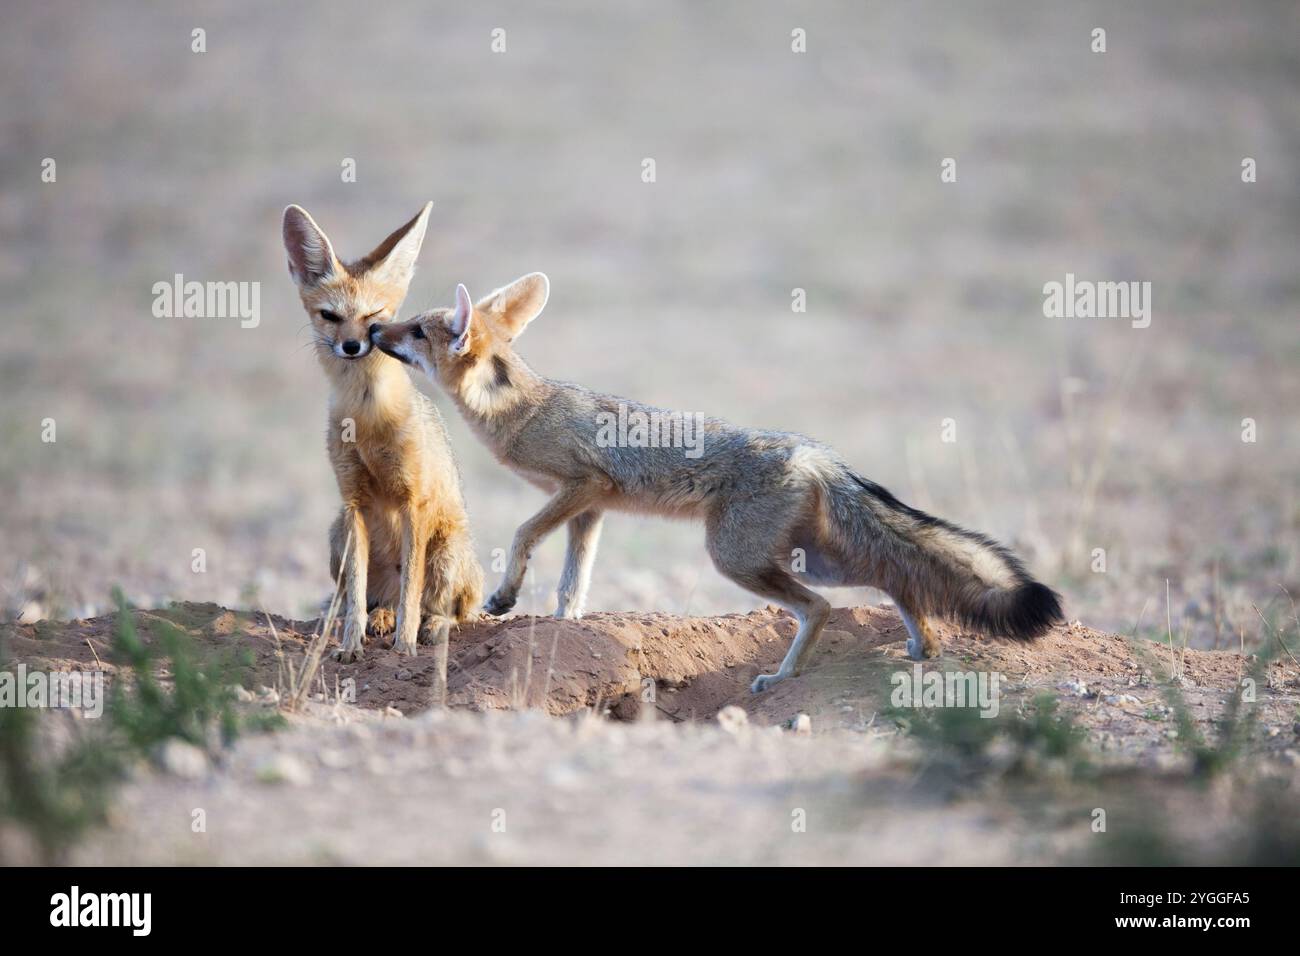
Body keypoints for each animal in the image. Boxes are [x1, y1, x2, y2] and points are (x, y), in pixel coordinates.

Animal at [281, 202, 483, 668]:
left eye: (374, 319)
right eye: (331, 316)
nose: (353, 346)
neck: (368, 417)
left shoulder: (414, 502)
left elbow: (412, 589)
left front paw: (405, 645)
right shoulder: (354, 501)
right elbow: (356, 594)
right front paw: (350, 645)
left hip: (447, 552)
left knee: (451, 608)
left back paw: (430, 625)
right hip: (337, 531)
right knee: (368, 599)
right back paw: (379, 618)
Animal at [369, 273, 1064, 692]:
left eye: (415, 330)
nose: (373, 329)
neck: (521, 408)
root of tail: (815, 452)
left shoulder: (581, 487)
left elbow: (520, 536)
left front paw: (506, 596)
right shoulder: (592, 509)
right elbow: (574, 581)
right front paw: (565, 626)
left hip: (740, 559)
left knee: (825, 607)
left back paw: (784, 680)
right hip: (803, 556)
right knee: (893, 574)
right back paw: (919, 647)